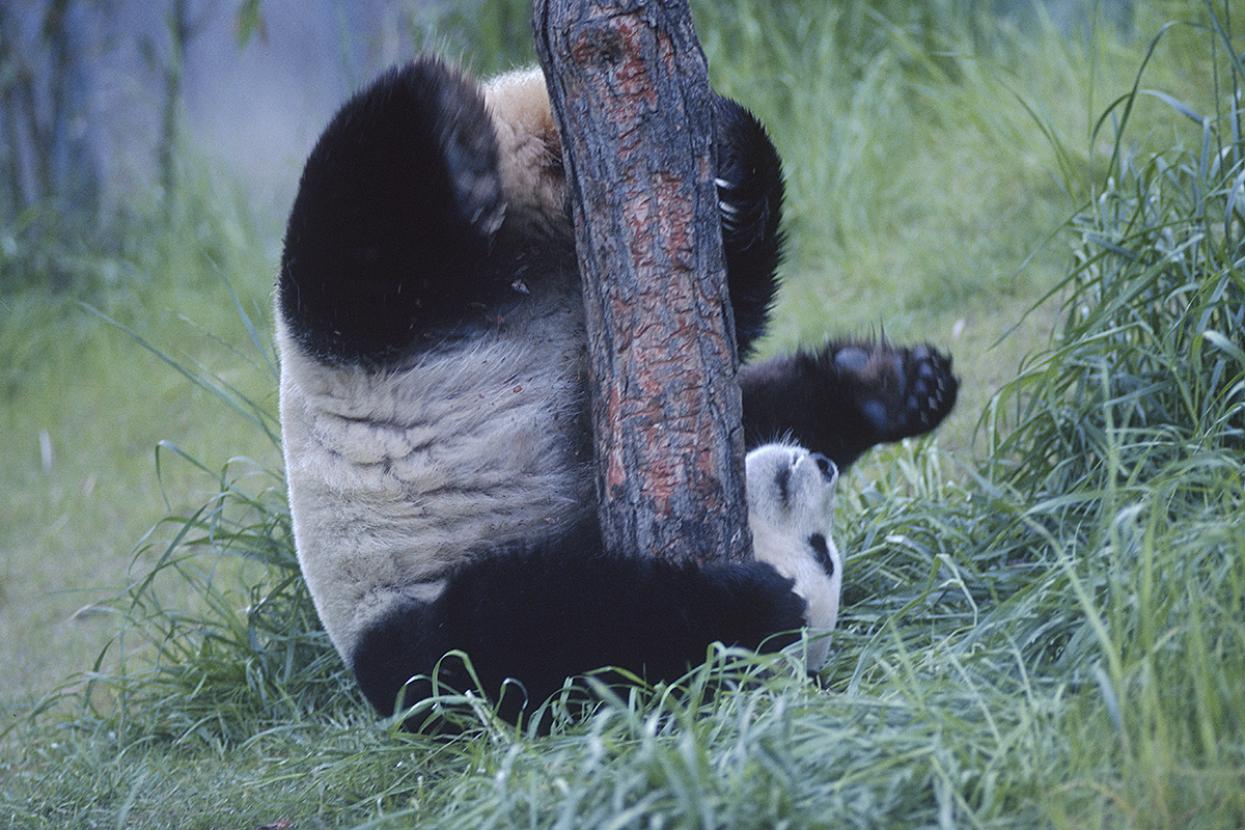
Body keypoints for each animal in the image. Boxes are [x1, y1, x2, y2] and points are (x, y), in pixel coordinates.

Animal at [275, 56, 957, 722]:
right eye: (822, 551)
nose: (818, 467)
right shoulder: (419, 618)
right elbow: (541, 633)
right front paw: (752, 611)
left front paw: (899, 387)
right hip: (351, 351)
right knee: (353, 230)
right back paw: (460, 141)